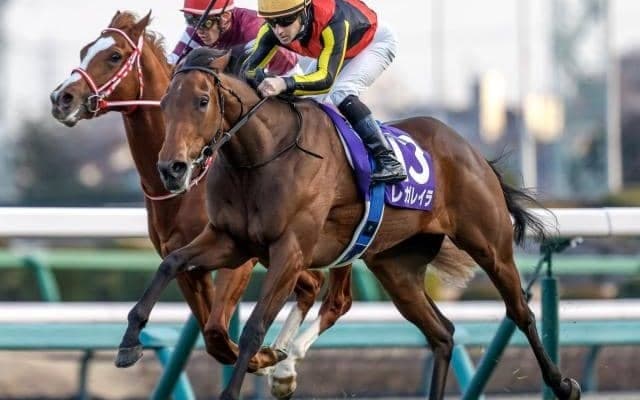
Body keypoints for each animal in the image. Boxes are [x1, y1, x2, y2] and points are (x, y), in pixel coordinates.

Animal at [48, 10, 358, 380]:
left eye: (114, 56)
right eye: (84, 51)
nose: (61, 98)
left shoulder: (239, 257)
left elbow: (216, 330)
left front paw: (260, 359)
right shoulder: (189, 263)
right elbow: (213, 333)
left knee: (337, 300)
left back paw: (286, 361)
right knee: (312, 283)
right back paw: (282, 359)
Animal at [118, 46, 582, 400]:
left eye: (202, 101)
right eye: (164, 105)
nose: (172, 168)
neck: (260, 156)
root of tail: (470, 150)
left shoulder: (290, 251)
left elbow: (252, 328)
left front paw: (250, 376)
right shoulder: (230, 241)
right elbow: (171, 263)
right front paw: (128, 344)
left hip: (488, 244)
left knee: (519, 311)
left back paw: (563, 384)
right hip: (396, 268)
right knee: (443, 334)